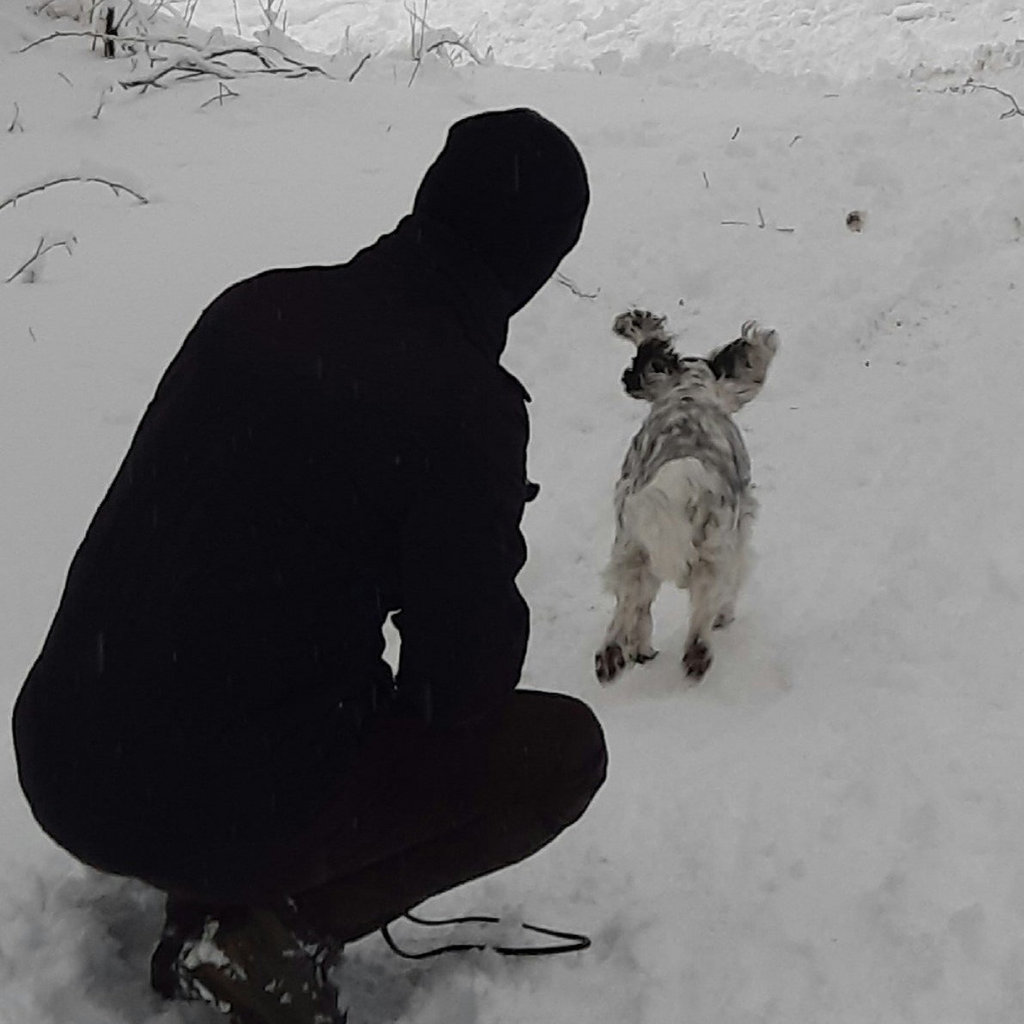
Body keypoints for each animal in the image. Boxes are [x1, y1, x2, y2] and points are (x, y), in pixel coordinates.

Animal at [595, 310, 779, 685]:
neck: (689, 393)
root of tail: (681, 480)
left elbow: (640, 611)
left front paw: (639, 648)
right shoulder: (739, 535)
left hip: (631, 549)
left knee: (625, 611)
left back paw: (612, 658)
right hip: (714, 551)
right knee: (701, 617)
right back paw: (698, 655)